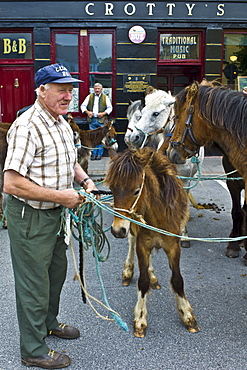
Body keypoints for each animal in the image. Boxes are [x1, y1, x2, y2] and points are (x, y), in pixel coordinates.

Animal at [104, 147, 199, 336]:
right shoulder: (142, 244)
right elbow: (143, 281)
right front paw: (140, 319)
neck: (158, 215)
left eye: (136, 190)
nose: (117, 230)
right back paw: (128, 272)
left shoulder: (173, 247)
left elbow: (177, 280)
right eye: (112, 189)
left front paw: (187, 316)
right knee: (131, 242)